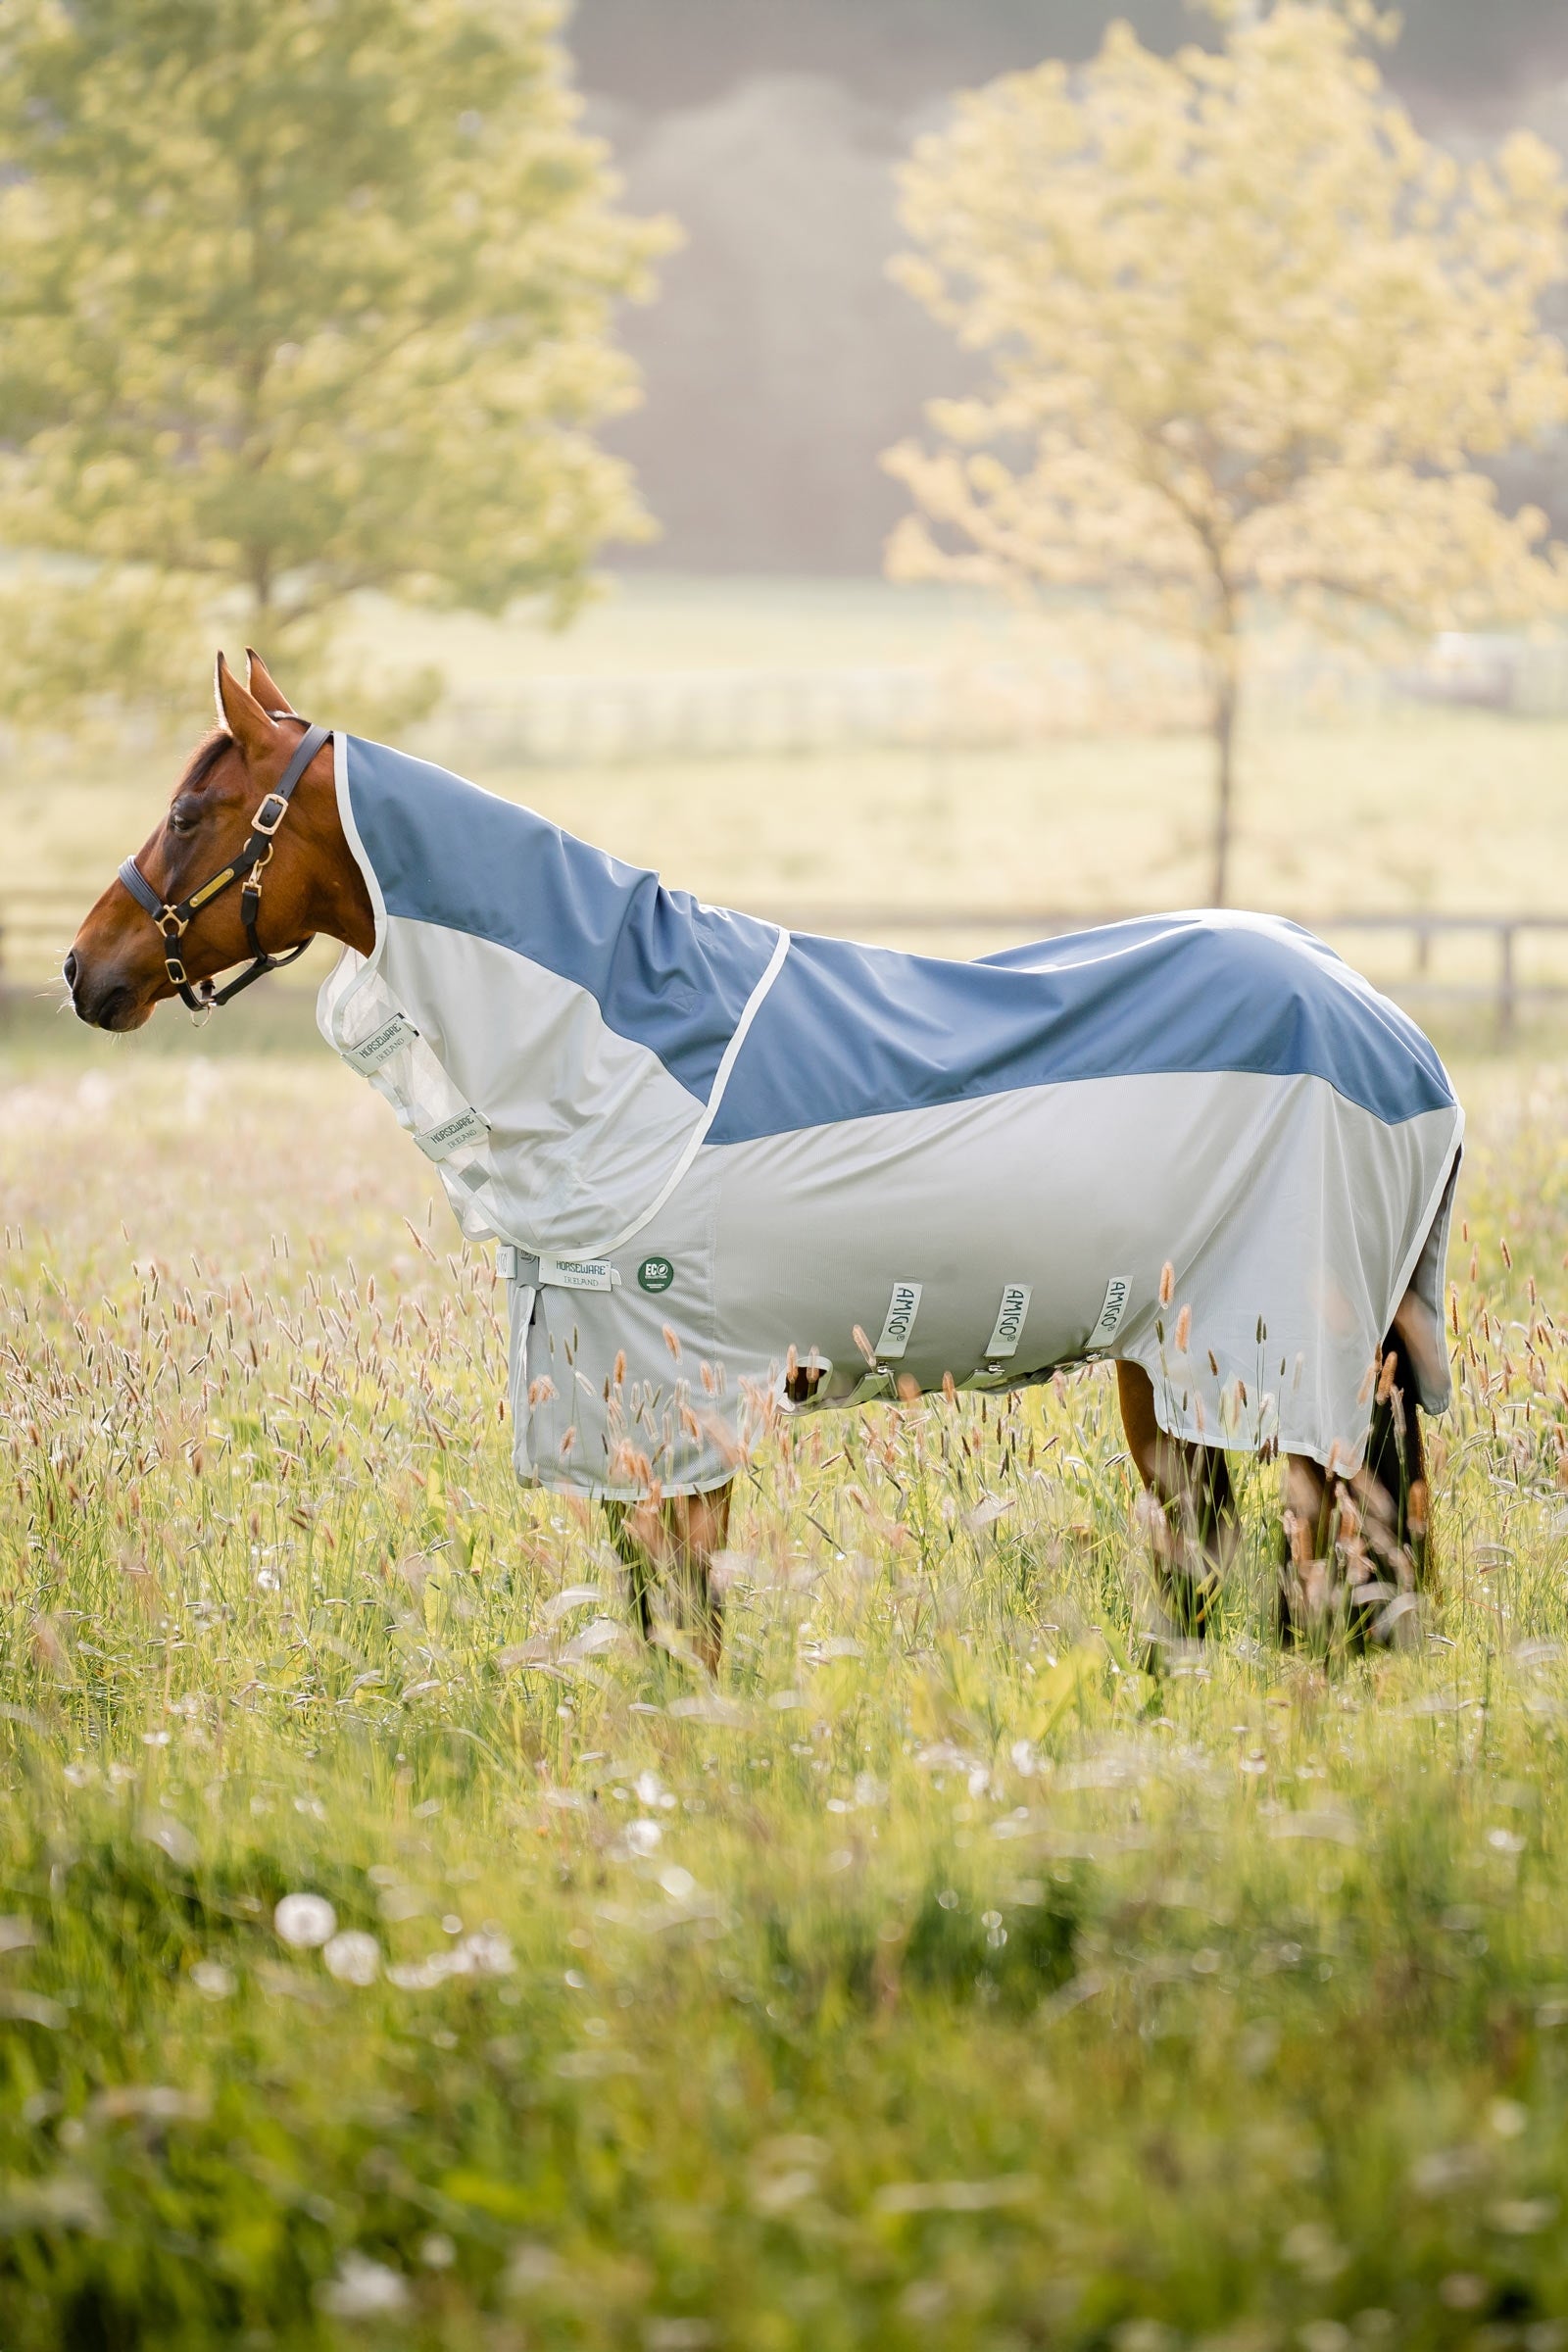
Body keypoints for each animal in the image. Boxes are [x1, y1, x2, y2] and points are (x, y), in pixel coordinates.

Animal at [66, 652, 1463, 1667]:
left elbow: (687, 1607)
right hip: (1169, 1361)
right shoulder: (612, 1398)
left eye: (189, 811)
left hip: (1286, 1359)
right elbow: (658, 1604)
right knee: (1218, 1552)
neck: (608, 1051)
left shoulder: (670, 1391)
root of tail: (1391, 1031)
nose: (86, 972)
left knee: (1315, 1546)